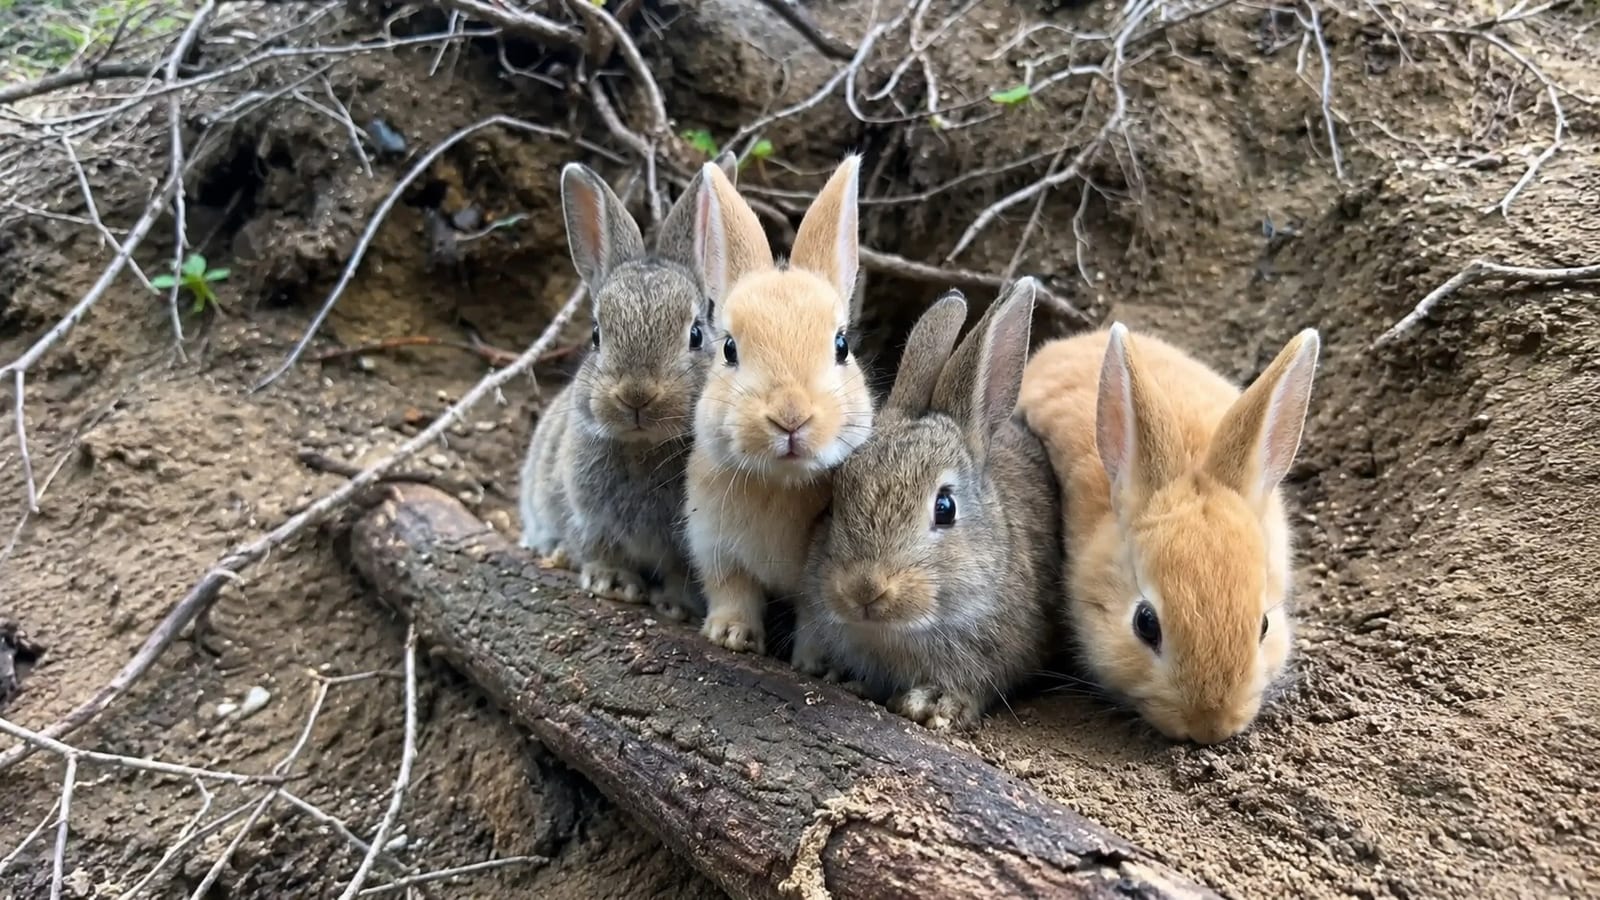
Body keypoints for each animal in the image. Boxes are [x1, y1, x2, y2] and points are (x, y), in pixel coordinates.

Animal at [519, 153, 737, 621]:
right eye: (596, 334)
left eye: (696, 334)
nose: (636, 395)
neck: (642, 446)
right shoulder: (590, 519)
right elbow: (602, 549)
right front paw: (613, 582)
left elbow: (679, 572)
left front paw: (675, 605)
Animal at [683, 155, 875, 656]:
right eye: (729, 349)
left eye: (842, 346)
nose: (791, 416)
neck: (779, 482)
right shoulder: (716, 550)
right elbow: (733, 592)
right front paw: (731, 635)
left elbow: (815, 622)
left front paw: (813, 663)